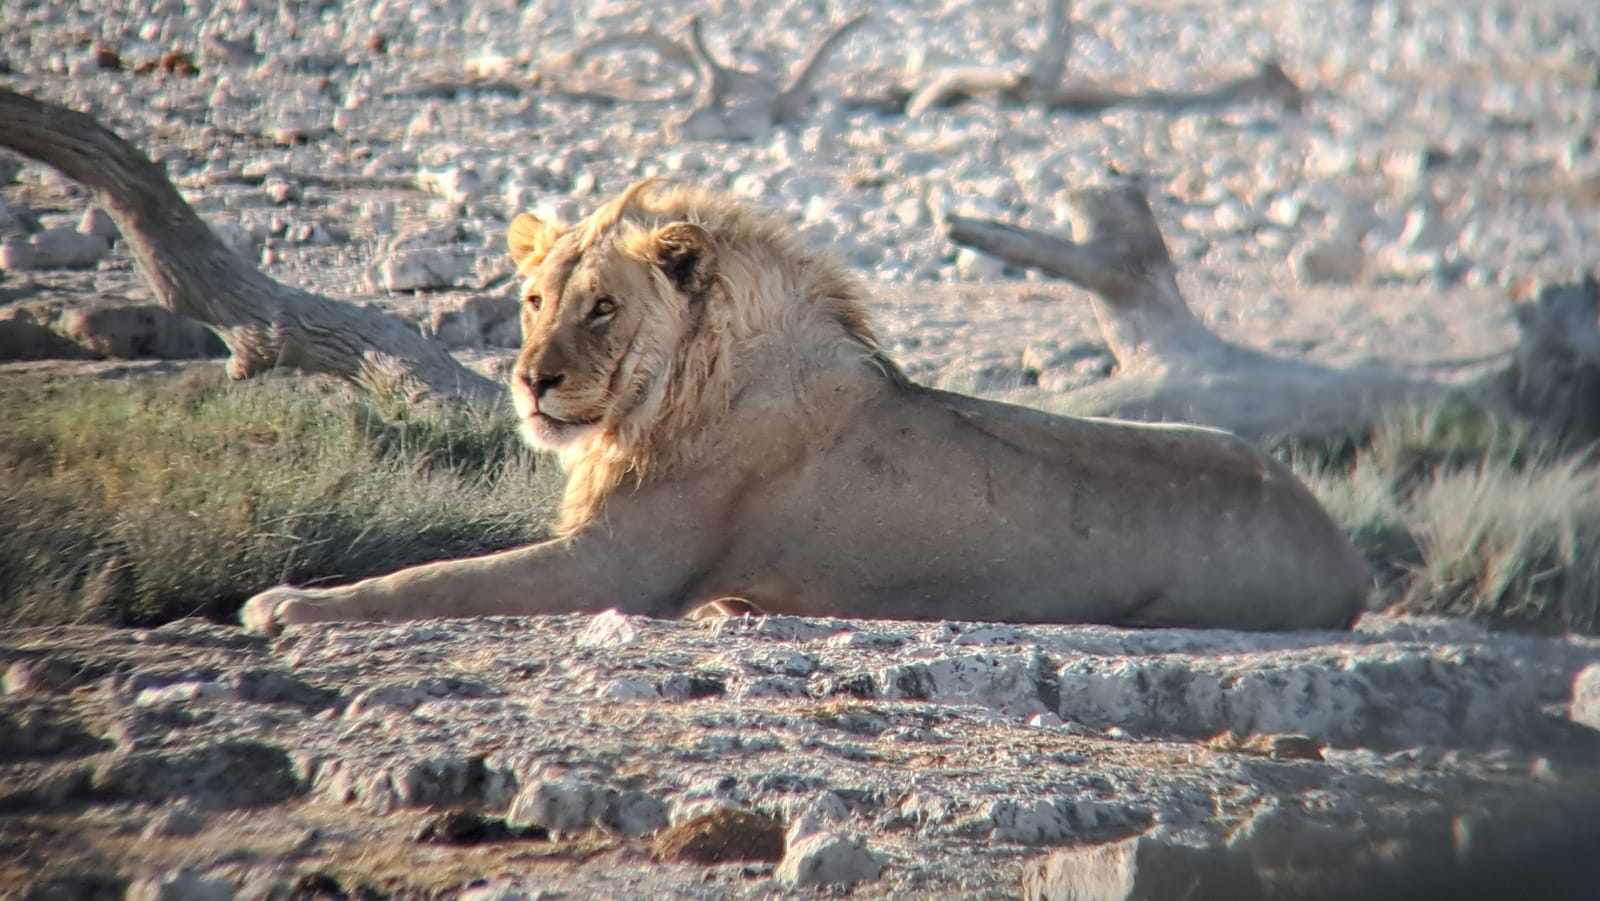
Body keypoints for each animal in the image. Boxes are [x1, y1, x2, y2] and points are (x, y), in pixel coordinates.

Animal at [242, 179, 1371, 634]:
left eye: (602, 306)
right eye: (532, 301)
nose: (531, 379)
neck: (669, 393)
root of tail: (1341, 544)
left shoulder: (620, 566)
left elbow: (426, 577)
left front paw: (287, 602)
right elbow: (437, 566)